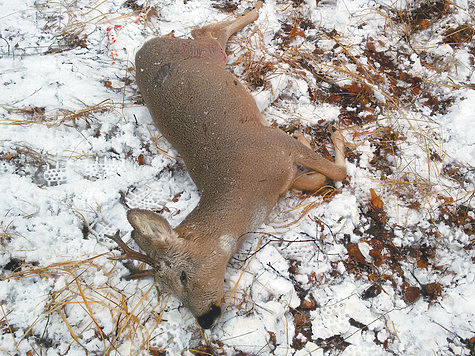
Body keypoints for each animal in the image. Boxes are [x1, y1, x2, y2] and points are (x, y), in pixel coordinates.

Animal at [107, 1, 346, 330]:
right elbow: (316, 180)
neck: (247, 190)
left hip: (207, 52)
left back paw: (257, 10)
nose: (206, 319)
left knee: (206, 31)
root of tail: (143, 48)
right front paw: (307, 139)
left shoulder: (275, 141)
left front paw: (332, 134)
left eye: (183, 275)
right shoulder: (281, 169)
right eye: (169, 290)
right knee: (205, 30)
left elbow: (338, 172)